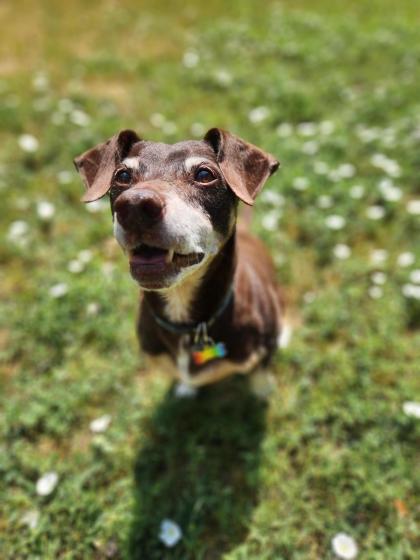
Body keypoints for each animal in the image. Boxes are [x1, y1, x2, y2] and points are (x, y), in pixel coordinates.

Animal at [74, 127, 286, 390]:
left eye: (204, 174)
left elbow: (260, 378)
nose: (135, 205)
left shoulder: (260, 354)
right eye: (122, 175)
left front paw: (263, 392)